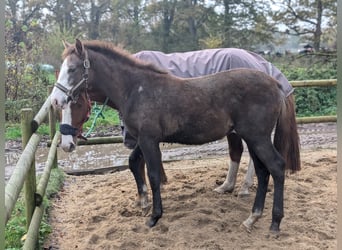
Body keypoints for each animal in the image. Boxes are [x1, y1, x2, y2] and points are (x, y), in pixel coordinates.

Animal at [50, 38, 300, 233]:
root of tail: (275, 83)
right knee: (262, 171)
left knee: (276, 167)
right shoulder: (144, 139)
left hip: (257, 137)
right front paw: (144, 204)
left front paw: (154, 216)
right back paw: (252, 218)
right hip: (252, 137)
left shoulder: (149, 140)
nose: (55, 99)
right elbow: (135, 164)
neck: (136, 89)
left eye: (72, 69)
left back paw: (274, 222)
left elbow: (153, 175)